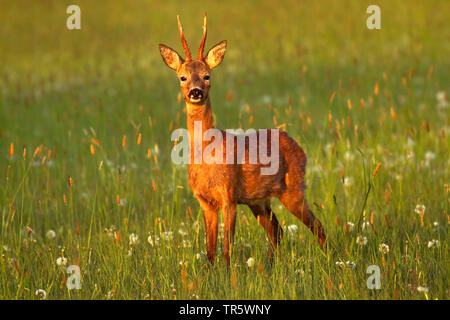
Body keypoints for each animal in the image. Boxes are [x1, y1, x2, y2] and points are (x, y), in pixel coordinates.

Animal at [160, 14, 326, 264]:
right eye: (182, 77)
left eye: (207, 76)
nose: (195, 91)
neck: (207, 154)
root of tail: (299, 147)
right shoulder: (205, 201)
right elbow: (209, 251)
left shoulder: (229, 195)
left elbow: (227, 248)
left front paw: (229, 273)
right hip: (258, 200)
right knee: (277, 231)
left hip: (294, 189)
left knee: (317, 227)